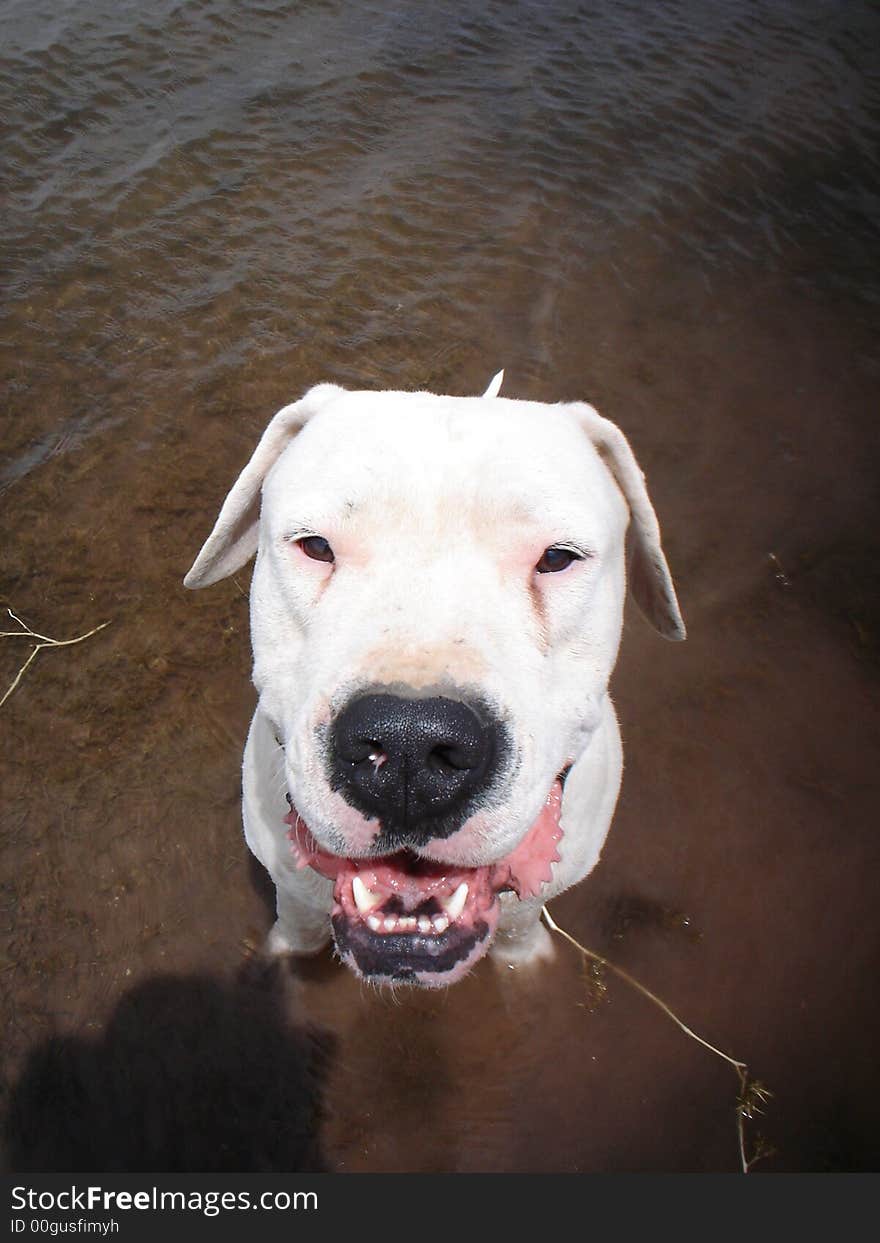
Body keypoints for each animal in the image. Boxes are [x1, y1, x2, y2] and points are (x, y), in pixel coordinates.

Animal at [182, 372, 686, 984]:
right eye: (316, 546)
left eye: (558, 558)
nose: (410, 744)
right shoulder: (290, 882)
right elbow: (297, 926)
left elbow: (520, 924)